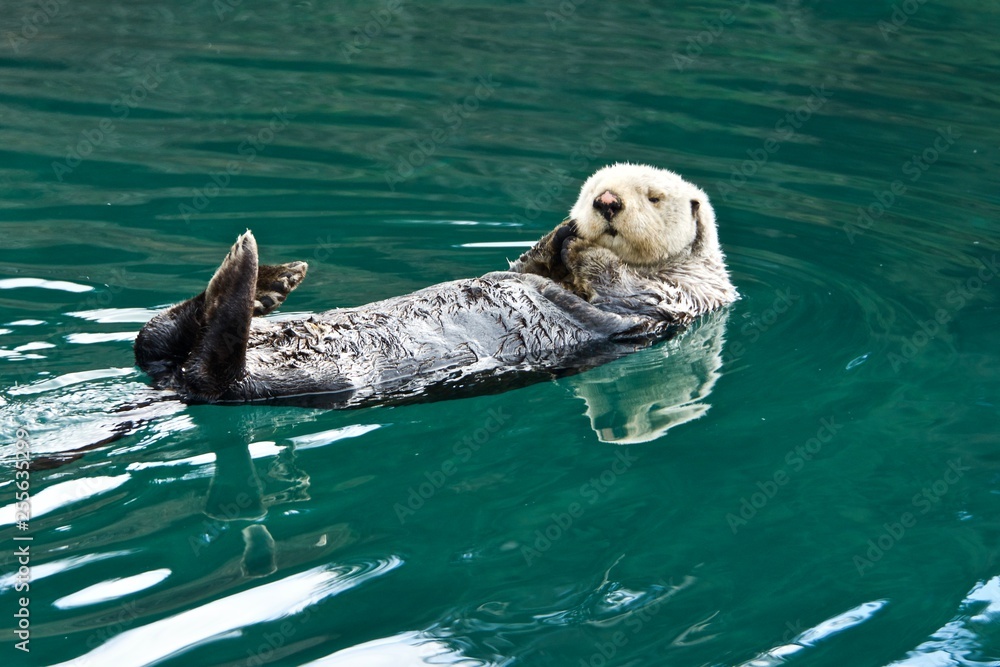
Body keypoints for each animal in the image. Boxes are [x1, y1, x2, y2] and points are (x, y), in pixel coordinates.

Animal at [134, 164, 737, 407]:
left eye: (652, 197)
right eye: (593, 191)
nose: (605, 204)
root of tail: (170, 386)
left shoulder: (680, 297)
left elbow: (621, 287)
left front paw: (585, 249)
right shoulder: (540, 272)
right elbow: (531, 267)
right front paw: (562, 235)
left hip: (272, 383)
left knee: (204, 366)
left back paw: (252, 273)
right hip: (177, 357)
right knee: (152, 339)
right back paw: (272, 281)